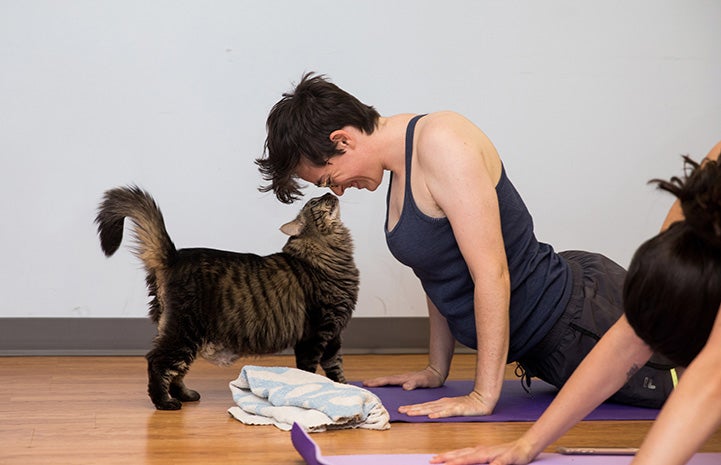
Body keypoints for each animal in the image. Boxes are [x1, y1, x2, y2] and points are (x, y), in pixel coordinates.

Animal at [94, 186, 358, 410]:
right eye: (315, 202)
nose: (328, 192)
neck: (332, 254)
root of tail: (174, 256)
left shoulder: (334, 335)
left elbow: (336, 367)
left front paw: (346, 389)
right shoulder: (315, 334)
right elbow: (308, 371)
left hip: (186, 336)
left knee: (176, 371)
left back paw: (185, 395)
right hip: (184, 330)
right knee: (157, 362)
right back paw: (164, 402)